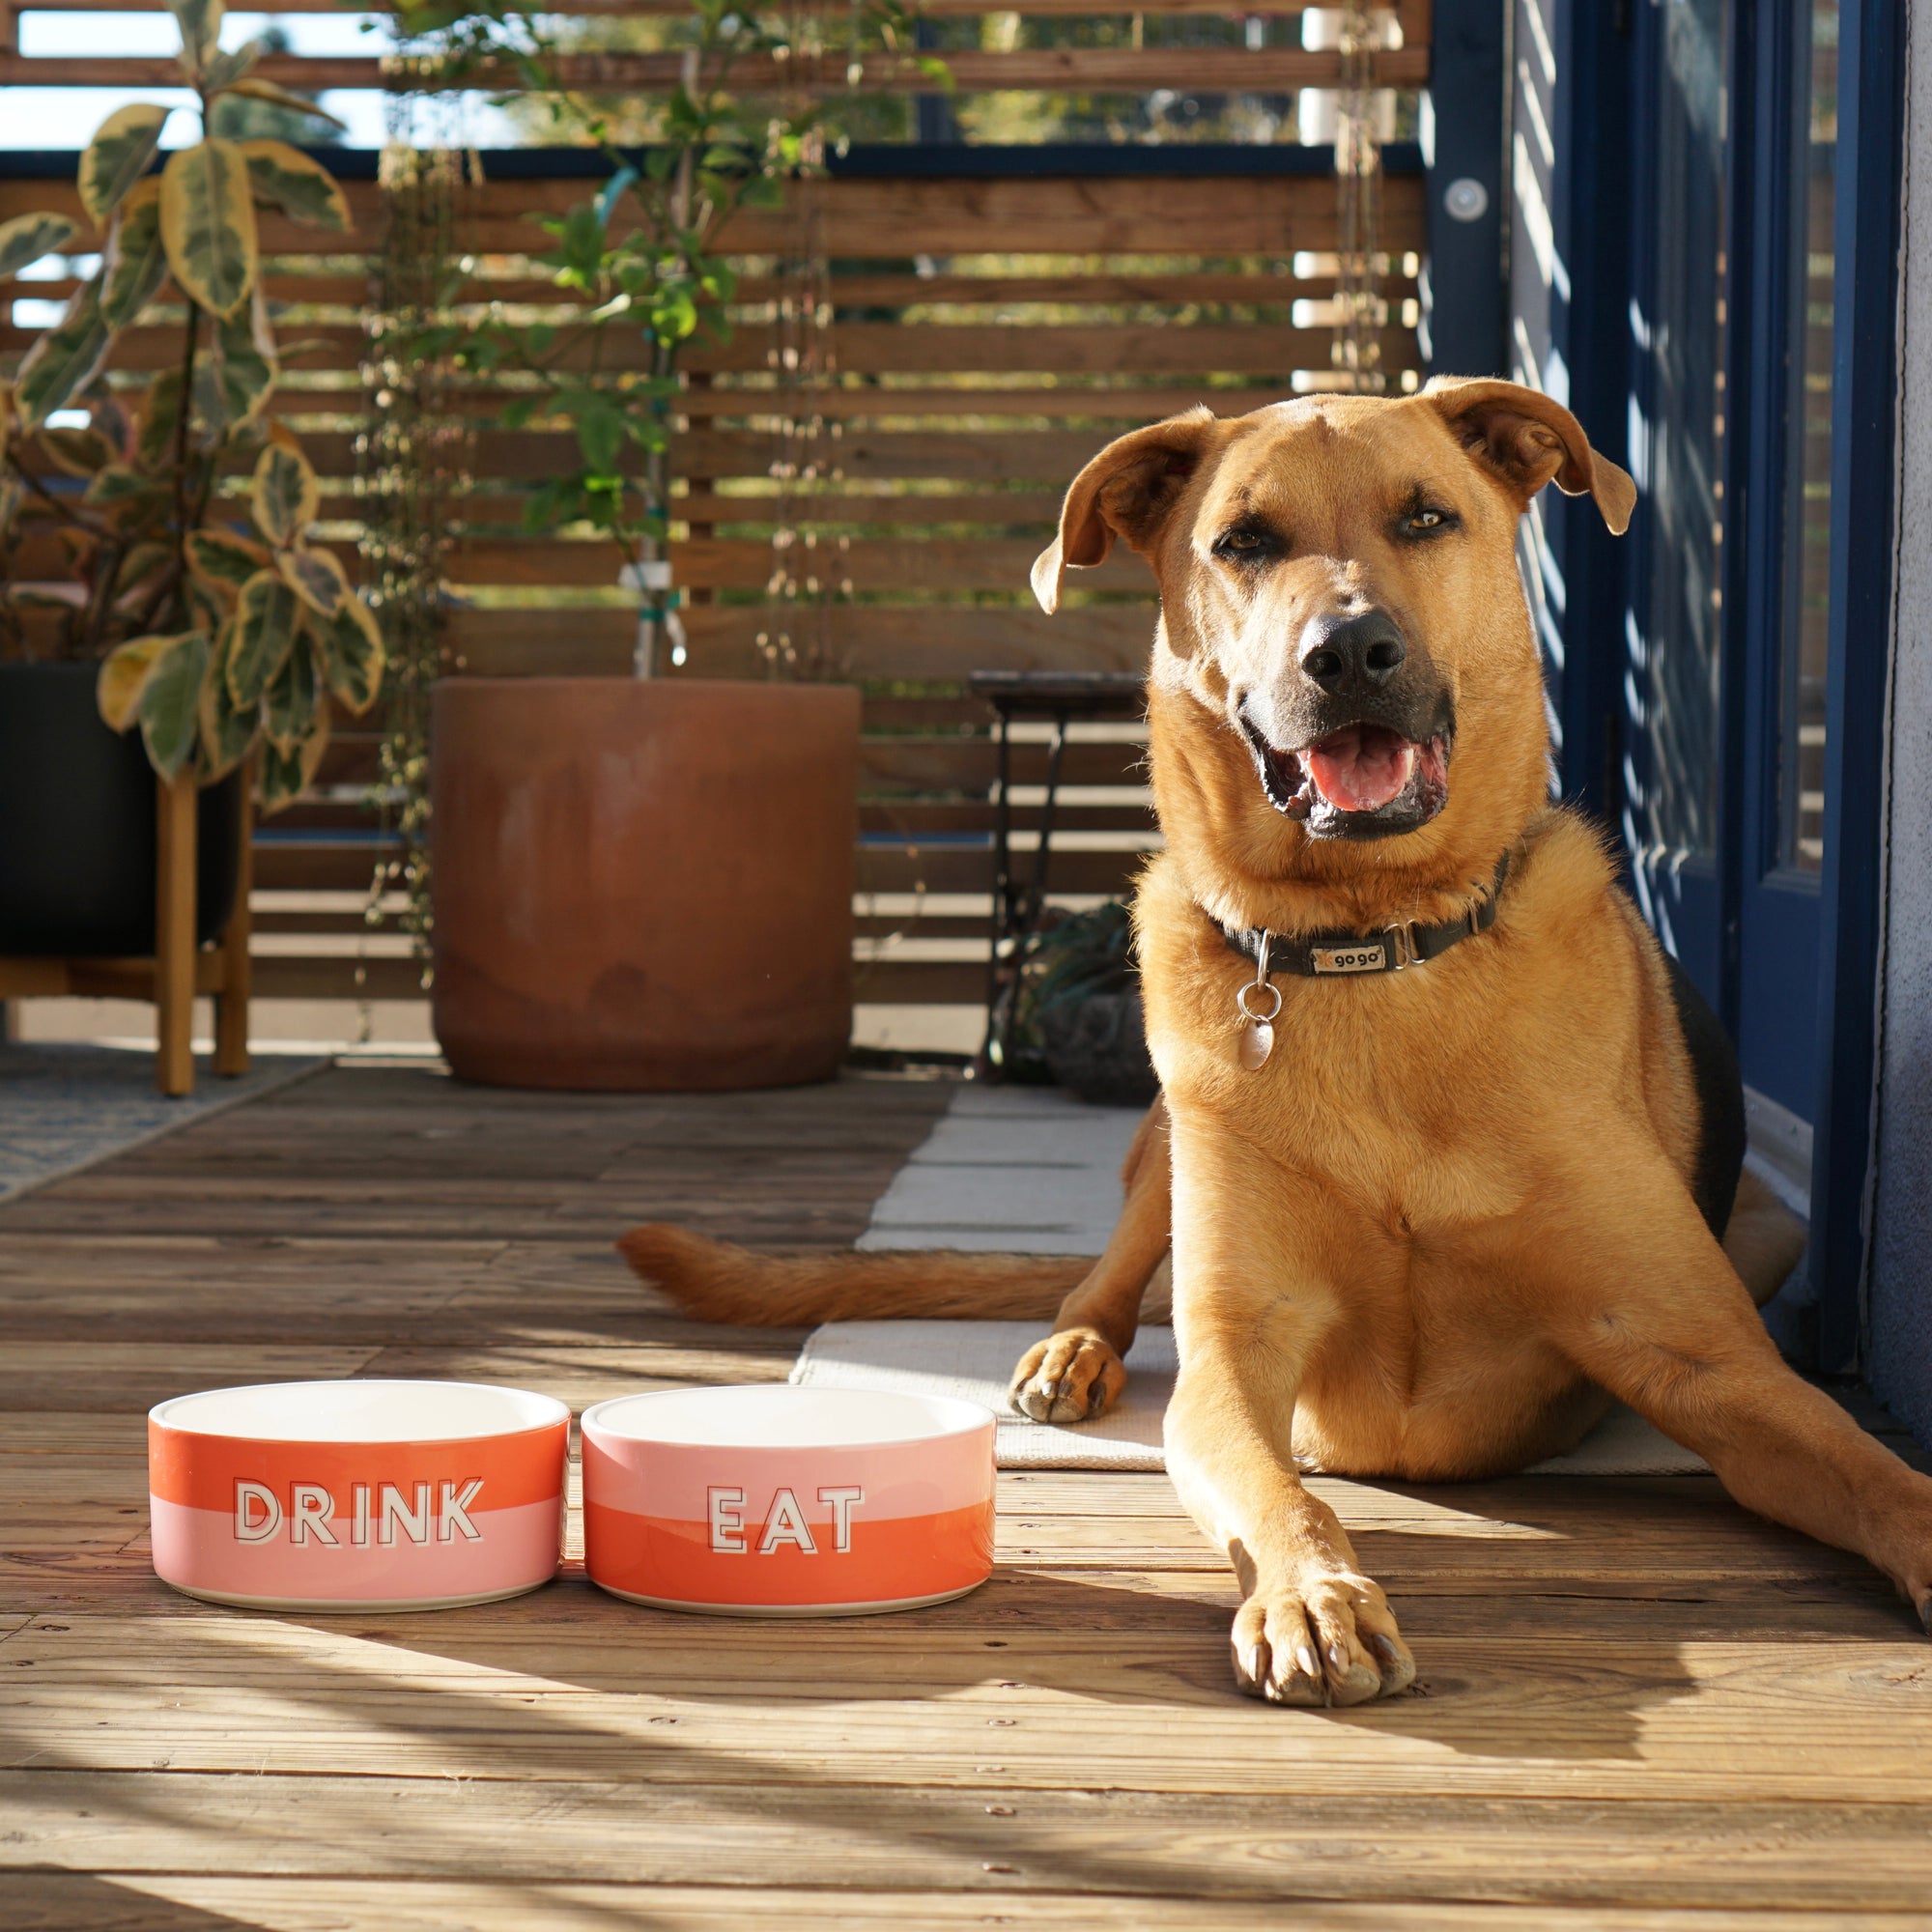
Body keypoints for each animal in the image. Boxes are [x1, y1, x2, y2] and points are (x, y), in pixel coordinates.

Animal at [626, 381, 1924, 1708]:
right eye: (1242, 541)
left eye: (1425, 515)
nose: (1348, 653)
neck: (1370, 949)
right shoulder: (1231, 1360)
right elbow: (1272, 1486)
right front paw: (1313, 1590)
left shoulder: (1711, 1363)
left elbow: (1873, 1468)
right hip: (1166, 1142)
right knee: (1108, 1281)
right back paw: (1069, 1352)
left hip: (1770, 1228)